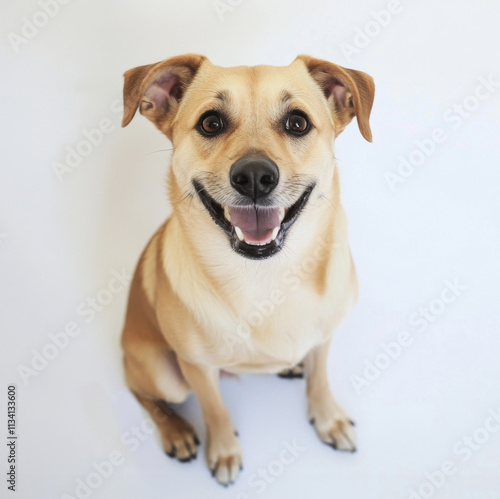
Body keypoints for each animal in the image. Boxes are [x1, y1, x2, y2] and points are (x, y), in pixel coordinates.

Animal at [119, 53, 374, 484]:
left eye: (297, 122)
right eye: (211, 123)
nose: (255, 176)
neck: (266, 277)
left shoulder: (324, 338)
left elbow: (320, 379)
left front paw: (328, 419)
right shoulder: (198, 369)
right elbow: (214, 410)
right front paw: (223, 451)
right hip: (161, 372)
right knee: (142, 392)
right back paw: (176, 431)